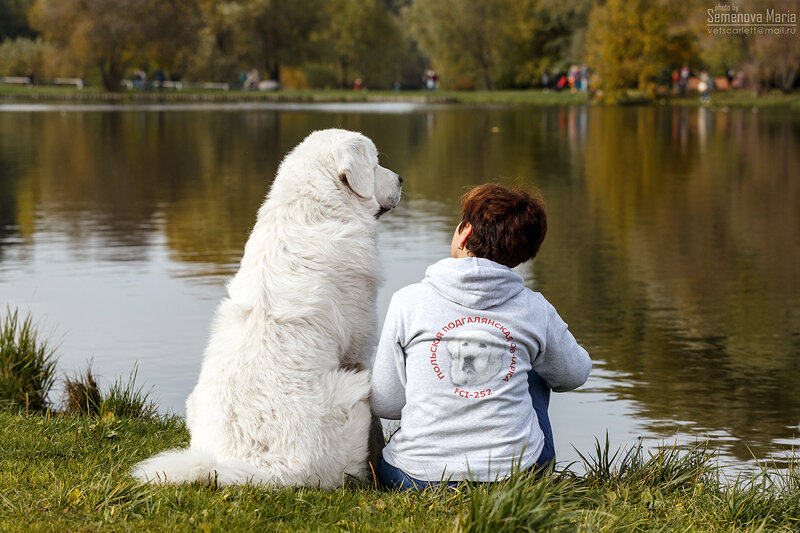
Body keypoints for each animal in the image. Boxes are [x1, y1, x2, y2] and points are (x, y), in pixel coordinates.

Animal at [135, 128, 406, 486]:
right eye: (375, 164)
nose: (402, 179)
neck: (313, 208)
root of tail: (251, 468)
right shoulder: (358, 348)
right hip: (353, 392)